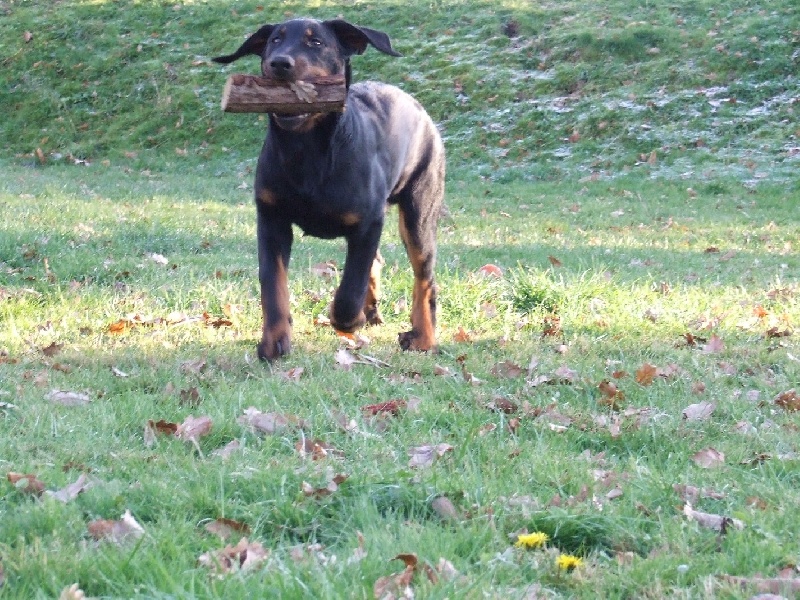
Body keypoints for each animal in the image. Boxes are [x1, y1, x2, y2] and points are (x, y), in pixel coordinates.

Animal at [213, 18, 445, 361]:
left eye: (317, 43)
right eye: (274, 40)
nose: (279, 63)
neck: (305, 150)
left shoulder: (368, 222)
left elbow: (350, 289)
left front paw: (347, 318)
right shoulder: (271, 218)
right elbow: (272, 283)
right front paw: (274, 342)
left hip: (419, 210)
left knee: (423, 277)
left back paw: (422, 338)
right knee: (377, 263)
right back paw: (373, 311)